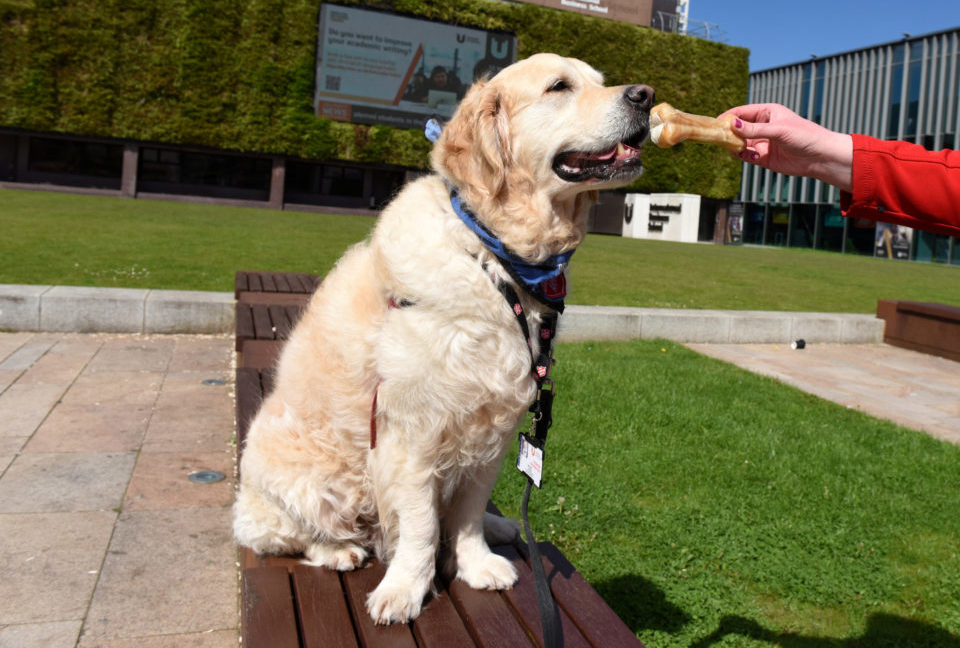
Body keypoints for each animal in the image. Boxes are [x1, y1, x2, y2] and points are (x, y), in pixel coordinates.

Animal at [234, 53, 652, 624]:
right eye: (558, 87)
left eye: (600, 81)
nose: (646, 96)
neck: (493, 257)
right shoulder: (412, 433)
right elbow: (421, 525)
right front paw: (405, 589)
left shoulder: (493, 428)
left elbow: (469, 513)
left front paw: (476, 563)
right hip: (299, 473)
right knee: (286, 532)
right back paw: (338, 550)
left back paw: (501, 526)